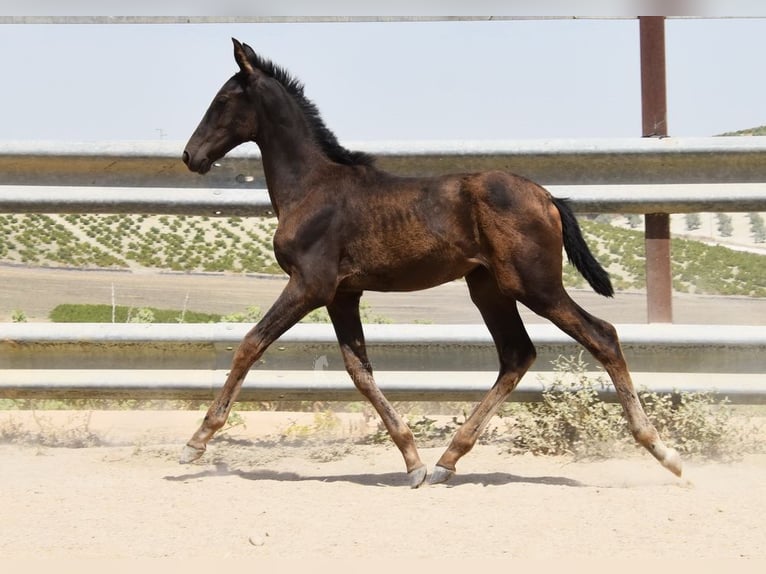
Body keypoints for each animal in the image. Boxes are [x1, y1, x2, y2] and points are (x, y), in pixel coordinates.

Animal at [181, 38, 682, 487]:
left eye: (222, 99)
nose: (190, 155)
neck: (312, 187)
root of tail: (548, 197)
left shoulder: (310, 285)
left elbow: (250, 344)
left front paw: (196, 441)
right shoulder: (343, 294)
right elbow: (359, 371)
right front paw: (413, 461)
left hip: (534, 285)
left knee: (602, 336)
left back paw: (664, 451)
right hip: (488, 287)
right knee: (517, 353)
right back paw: (447, 460)